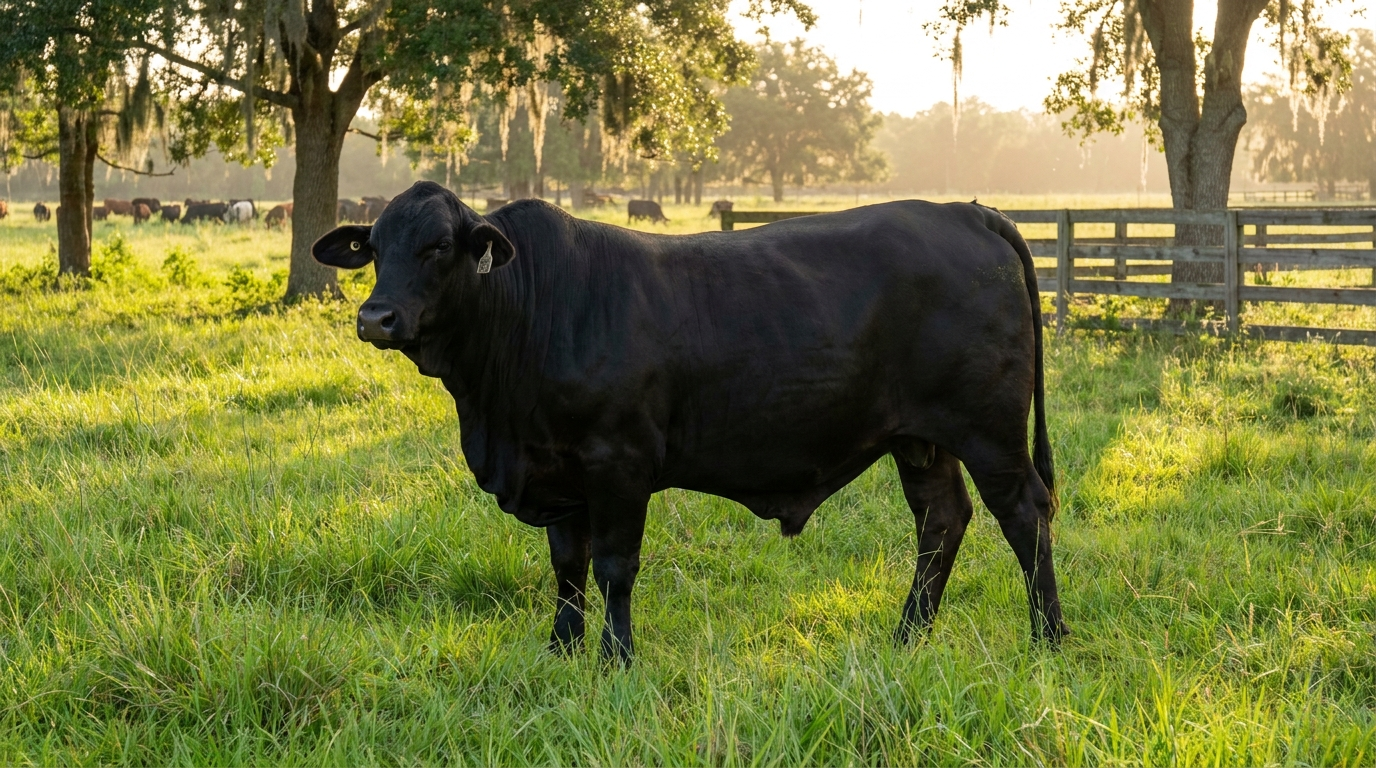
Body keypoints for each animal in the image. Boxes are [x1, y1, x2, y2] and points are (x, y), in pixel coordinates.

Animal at [311, 181, 1065, 664]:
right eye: (373, 246)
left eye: (439, 246)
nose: (375, 318)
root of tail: (965, 212)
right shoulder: (556, 470)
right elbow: (567, 567)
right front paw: (560, 652)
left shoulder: (618, 462)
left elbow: (614, 566)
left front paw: (615, 660)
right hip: (921, 440)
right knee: (941, 521)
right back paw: (908, 637)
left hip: (989, 431)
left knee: (1024, 515)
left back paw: (1048, 640)